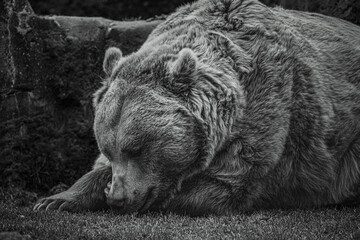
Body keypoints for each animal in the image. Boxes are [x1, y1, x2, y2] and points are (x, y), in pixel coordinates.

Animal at [33, 0, 360, 216]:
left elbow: (222, 186)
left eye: (136, 148)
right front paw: (55, 199)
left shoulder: (267, 114)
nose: (118, 198)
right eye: (109, 149)